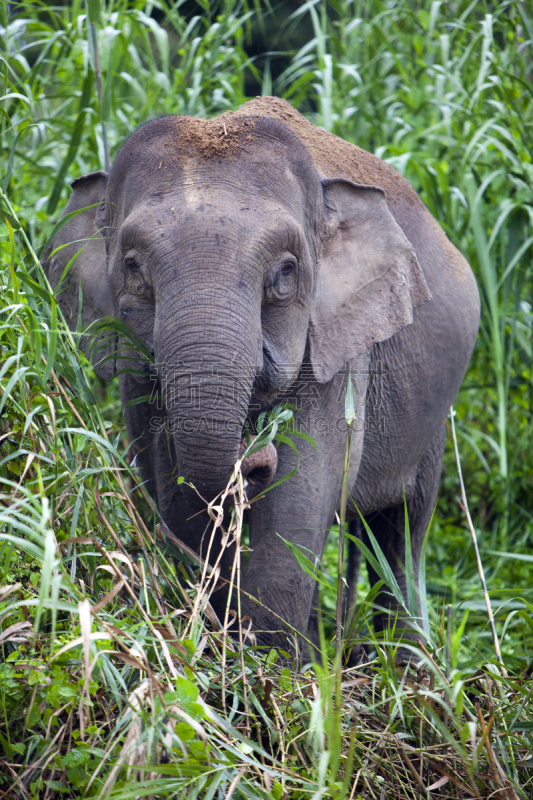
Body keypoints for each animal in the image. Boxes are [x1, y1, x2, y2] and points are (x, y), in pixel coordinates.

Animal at [44, 95, 478, 656]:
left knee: (403, 525)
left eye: (285, 272)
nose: (254, 460)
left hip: (432, 418)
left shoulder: (336, 347)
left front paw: (271, 665)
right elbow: (169, 484)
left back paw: (402, 663)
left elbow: (302, 495)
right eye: (134, 268)